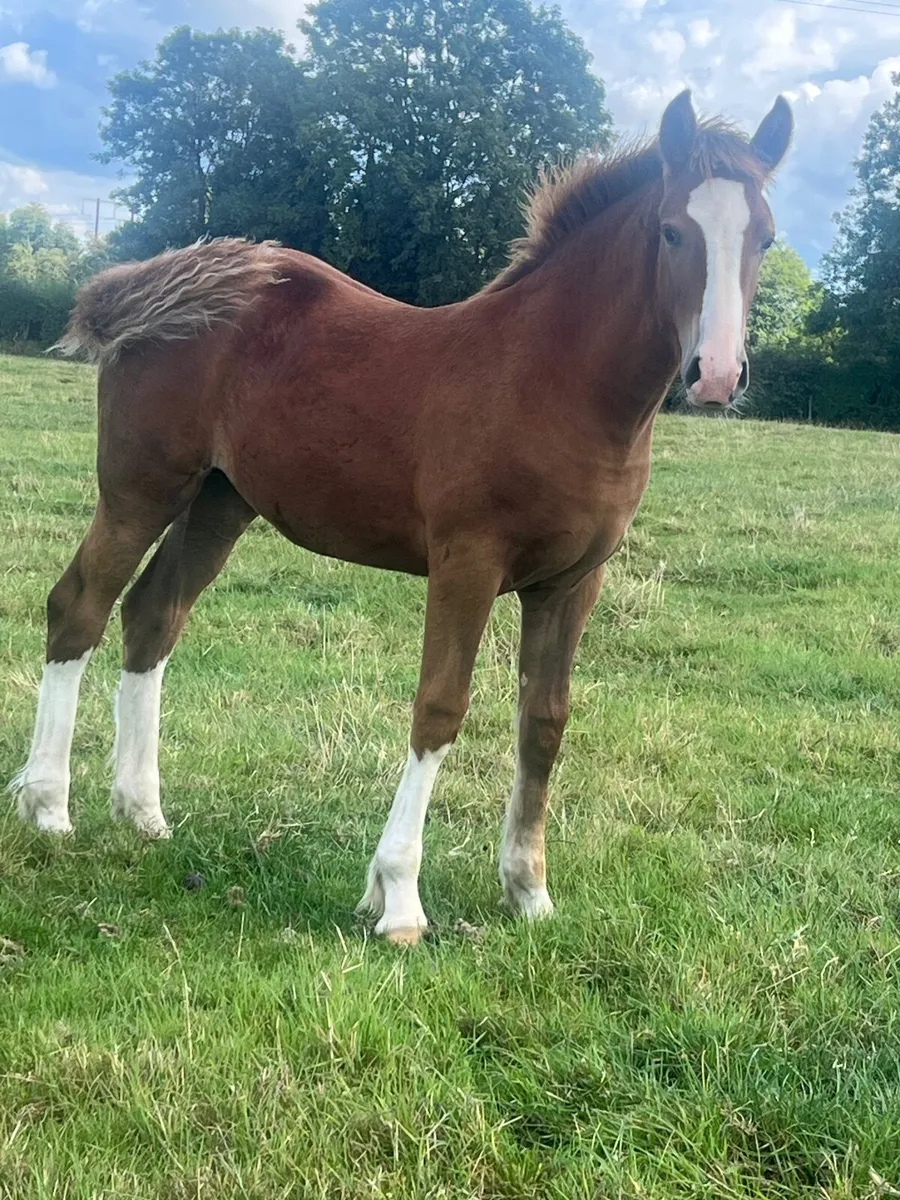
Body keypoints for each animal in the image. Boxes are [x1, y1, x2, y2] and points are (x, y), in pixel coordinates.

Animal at [10, 90, 792, 944]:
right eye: (673, 231)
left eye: (765, 236)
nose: (716, 376)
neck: (554, 382)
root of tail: (162, 281)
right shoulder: (467, 563)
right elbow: (440, 708)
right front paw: (399, 898)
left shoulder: (572, 582)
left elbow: (545, 722)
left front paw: (530, 893)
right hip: (142, 489)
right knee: (80, 604)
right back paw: (48, 806)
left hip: (220, 501)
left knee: (154, 616)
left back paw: (143, 812)